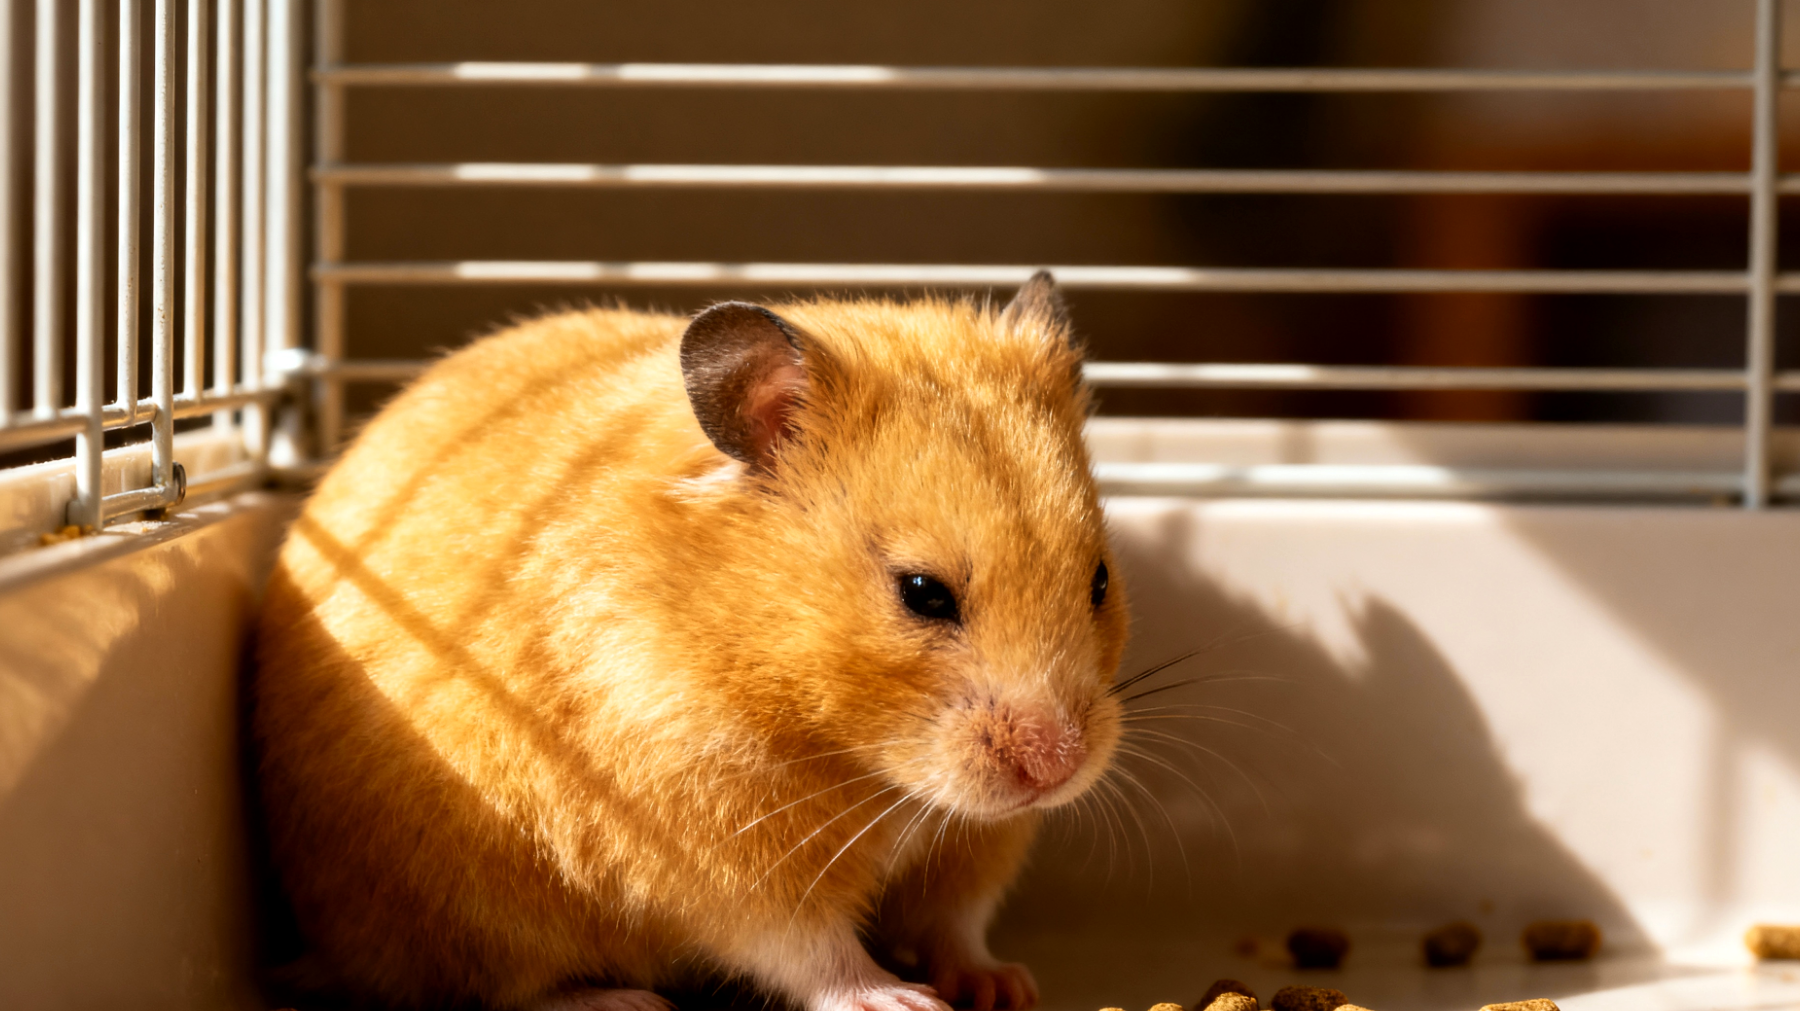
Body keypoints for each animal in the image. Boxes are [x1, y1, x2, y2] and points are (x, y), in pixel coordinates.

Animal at [252, 271, 1129, 1011]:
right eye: (922, 593)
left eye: (1099, 579)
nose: (1057, 769)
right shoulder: (715, 841)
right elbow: (808, 946)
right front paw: (900, 1001)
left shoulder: (974, 843)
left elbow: (955, 921)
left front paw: (1001, 985)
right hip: (465, 909)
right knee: (493, 991)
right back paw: (624, 1002)